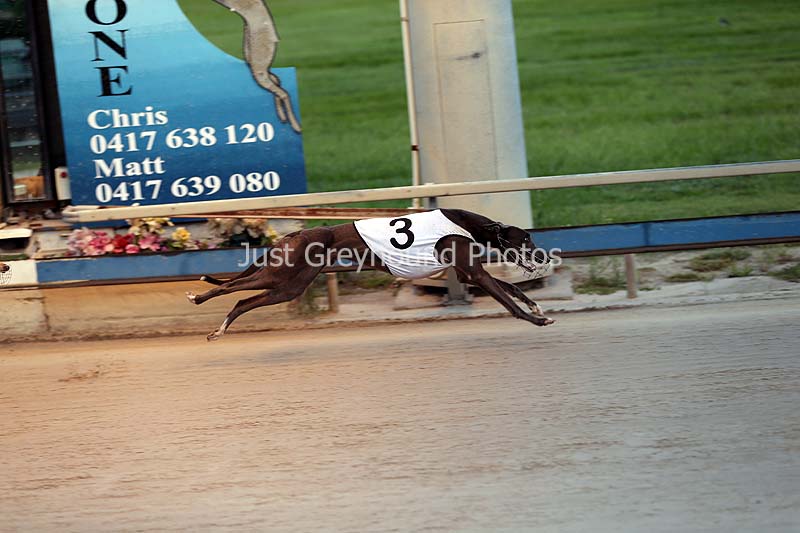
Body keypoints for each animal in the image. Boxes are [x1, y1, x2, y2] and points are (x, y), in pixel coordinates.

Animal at [188, 209, 555, 340]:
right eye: (527, 238)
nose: (543, 256)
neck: (467, 224)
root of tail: (294, 233)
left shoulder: (465, 275)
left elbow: (513, 289)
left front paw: (538, 307)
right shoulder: (475, 274)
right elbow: (508, 301)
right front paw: (536, 319)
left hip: (290, 285)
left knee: (243, 300)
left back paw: (218, 327)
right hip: (282, 277)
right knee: (233, 288)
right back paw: (199, 297)